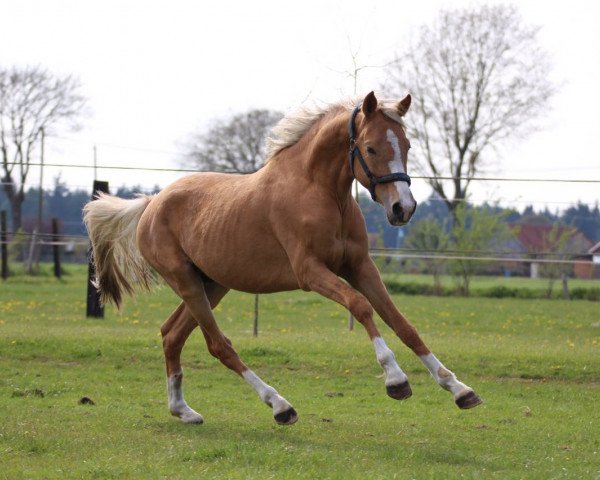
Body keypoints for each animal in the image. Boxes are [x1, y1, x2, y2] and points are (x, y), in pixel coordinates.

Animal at [84, 92, 482, 426]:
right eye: (370, 148)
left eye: (407, 145)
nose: (404, 208)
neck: (321, 193)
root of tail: (152, 204)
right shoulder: (310, 272)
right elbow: (360, 306)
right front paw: (396, 380)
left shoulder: (359, 267)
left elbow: (402, 323)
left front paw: (459, 389)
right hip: (187, 282)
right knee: (218, 345)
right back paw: (279, 406)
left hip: (211, 284)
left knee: (171, 335)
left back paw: (183, 410)